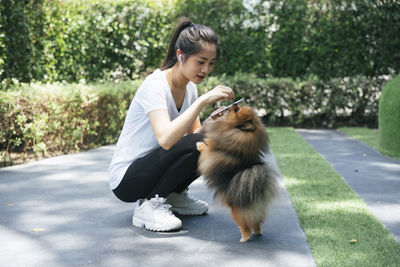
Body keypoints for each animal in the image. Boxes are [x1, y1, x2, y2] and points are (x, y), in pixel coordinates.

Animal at [197, 103, 282, 244]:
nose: (235, 104)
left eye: (236, 111)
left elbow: (206, 147)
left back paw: (244, 238)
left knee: (245, 226)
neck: (234, 131)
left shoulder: (210, 152)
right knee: (257, 224)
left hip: (236, 214)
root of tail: (256, 196)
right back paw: (257, 232)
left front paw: (199, 144)